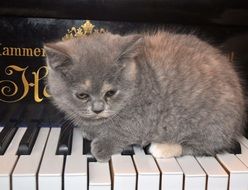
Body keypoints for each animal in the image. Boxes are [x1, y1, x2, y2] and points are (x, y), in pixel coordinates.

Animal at [44, 31, 246, 162]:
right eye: (82, 95)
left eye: (110, 93)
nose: (98, 109)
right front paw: (89, 131)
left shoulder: (144, 115)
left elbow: (123, 131)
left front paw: (102, 146)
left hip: (209, 125)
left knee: (203, 146)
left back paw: (163, 148)